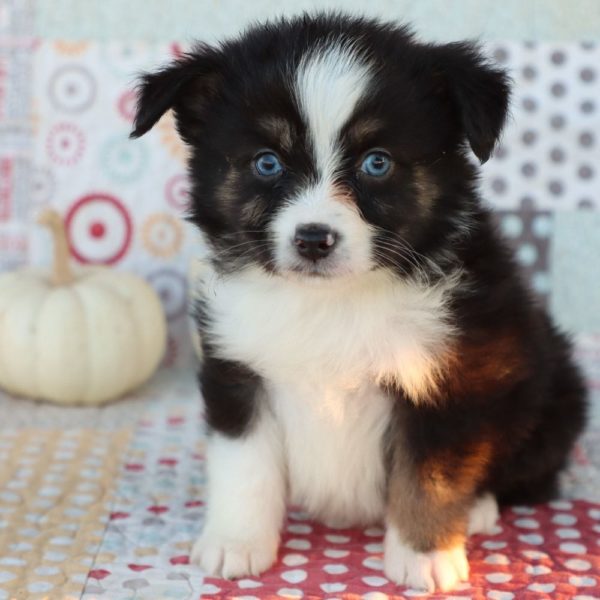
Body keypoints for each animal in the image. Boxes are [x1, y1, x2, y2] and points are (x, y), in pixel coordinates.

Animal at [131, 12, 584, 592]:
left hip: (555, 391)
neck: (333, 298)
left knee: (530, 473)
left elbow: (432, 476)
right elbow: (243, 464)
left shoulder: (453, 378)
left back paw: (479, 509)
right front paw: (236, 543)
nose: (314, 239)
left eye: (376, 162)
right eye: (266, 163)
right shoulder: (236, 366)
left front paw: (424, 555)